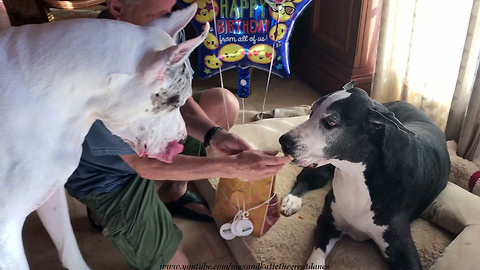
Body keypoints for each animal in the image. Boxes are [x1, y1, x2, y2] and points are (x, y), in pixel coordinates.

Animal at [278, 82, 450, 270]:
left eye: (331, 122)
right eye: (312, 111)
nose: (284, 141)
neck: (355, 175)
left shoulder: (403, 252)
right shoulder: (328, 222)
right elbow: (316, 258)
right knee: (305, 179)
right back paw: (292, 201)